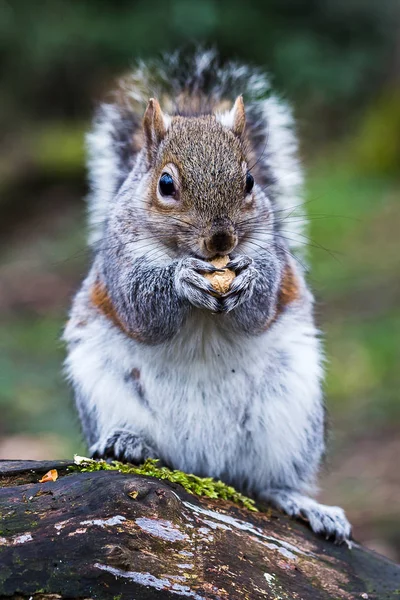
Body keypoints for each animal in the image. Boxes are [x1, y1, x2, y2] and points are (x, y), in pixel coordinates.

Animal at [62, 49, 350, 540]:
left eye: (250, 181)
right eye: (166, 185)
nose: (221, 240)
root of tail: (205, 464)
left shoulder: (272, 256)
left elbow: (260, 306)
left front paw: (249, 281)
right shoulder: (118, 264)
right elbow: (142, 310)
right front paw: (182, 280)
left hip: (290, 416)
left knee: (269, 482)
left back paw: (305, 505)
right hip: (102, 387)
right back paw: (126, 441)